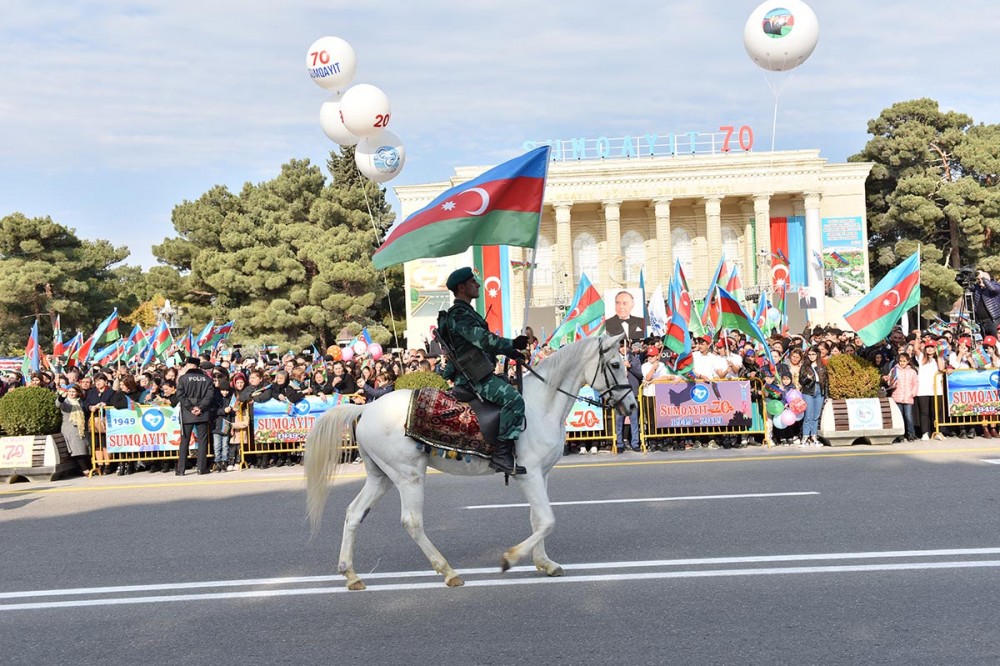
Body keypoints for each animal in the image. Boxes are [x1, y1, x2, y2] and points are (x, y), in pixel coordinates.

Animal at [300, 332, 640, 588]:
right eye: (614, 363)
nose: (633, 405)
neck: (541, 404)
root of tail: (366, 408)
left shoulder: (541, 475)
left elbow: (538, 519)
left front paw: (544, 563)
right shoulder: (528, 473)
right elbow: (547, 520)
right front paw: (509, 559)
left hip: (380, 476)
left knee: (354, 513)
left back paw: (351, 574)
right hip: (408, 475)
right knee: (411, 521)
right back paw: (448, 571)